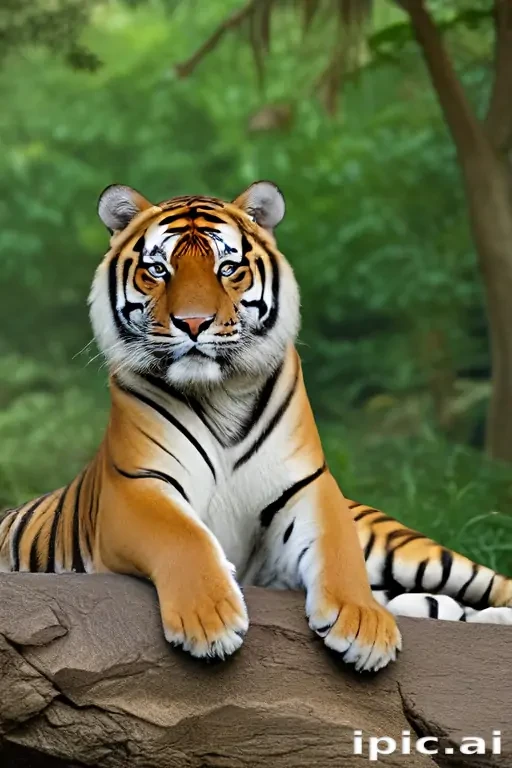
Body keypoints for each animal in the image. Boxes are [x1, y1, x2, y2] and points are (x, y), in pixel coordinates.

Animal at [1, 181, 511, 674]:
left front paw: (363, 625)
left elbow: (339, 551)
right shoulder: (137, 486)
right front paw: (210, 621)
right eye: (159, 270)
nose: (193, 323)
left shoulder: (308, 486)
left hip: (413, 552)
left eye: (228, 268)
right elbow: (184, 535)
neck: (219, 392)